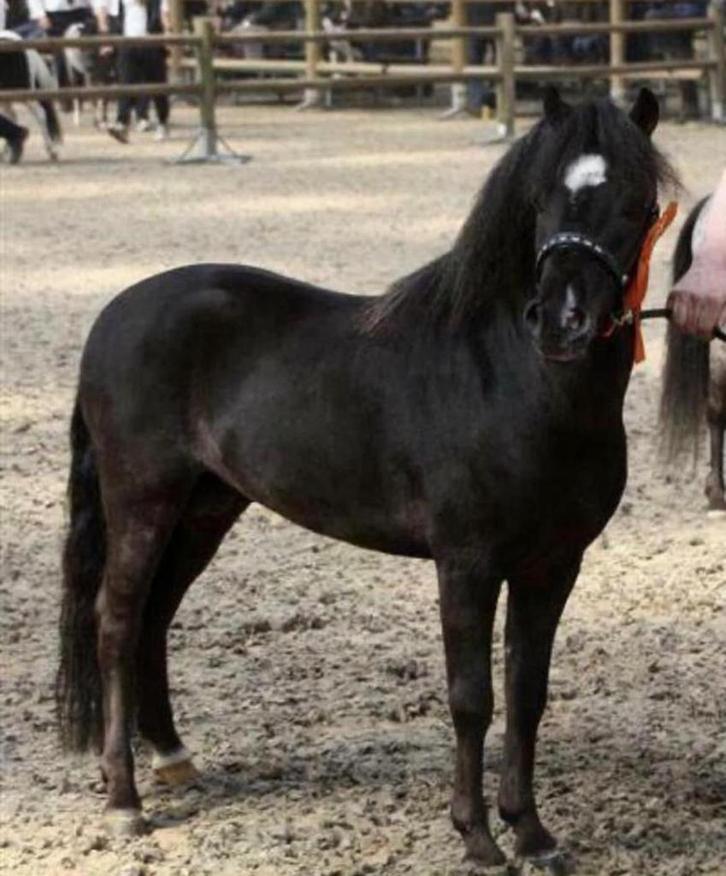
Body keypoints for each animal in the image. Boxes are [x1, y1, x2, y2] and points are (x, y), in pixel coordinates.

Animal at [0, 30, 62, 160]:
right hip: (7, 94)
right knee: (12, 116)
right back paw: (7, 151)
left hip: (22, 91)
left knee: (40, 113)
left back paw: (51, 151)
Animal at [56, 87, 674, 872]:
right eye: (542, 199)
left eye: (636, 203)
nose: (563, 322)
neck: (518, 381)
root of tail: (113, 315)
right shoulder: (466, 562)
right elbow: (472, 697)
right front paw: (477, 836)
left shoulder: (553, 565)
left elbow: (527, 692)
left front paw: (532, 833)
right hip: (143, 499)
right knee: (116, 620)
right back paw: (124, 801)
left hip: (205, 507)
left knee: (155, 619)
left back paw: (173, 759)